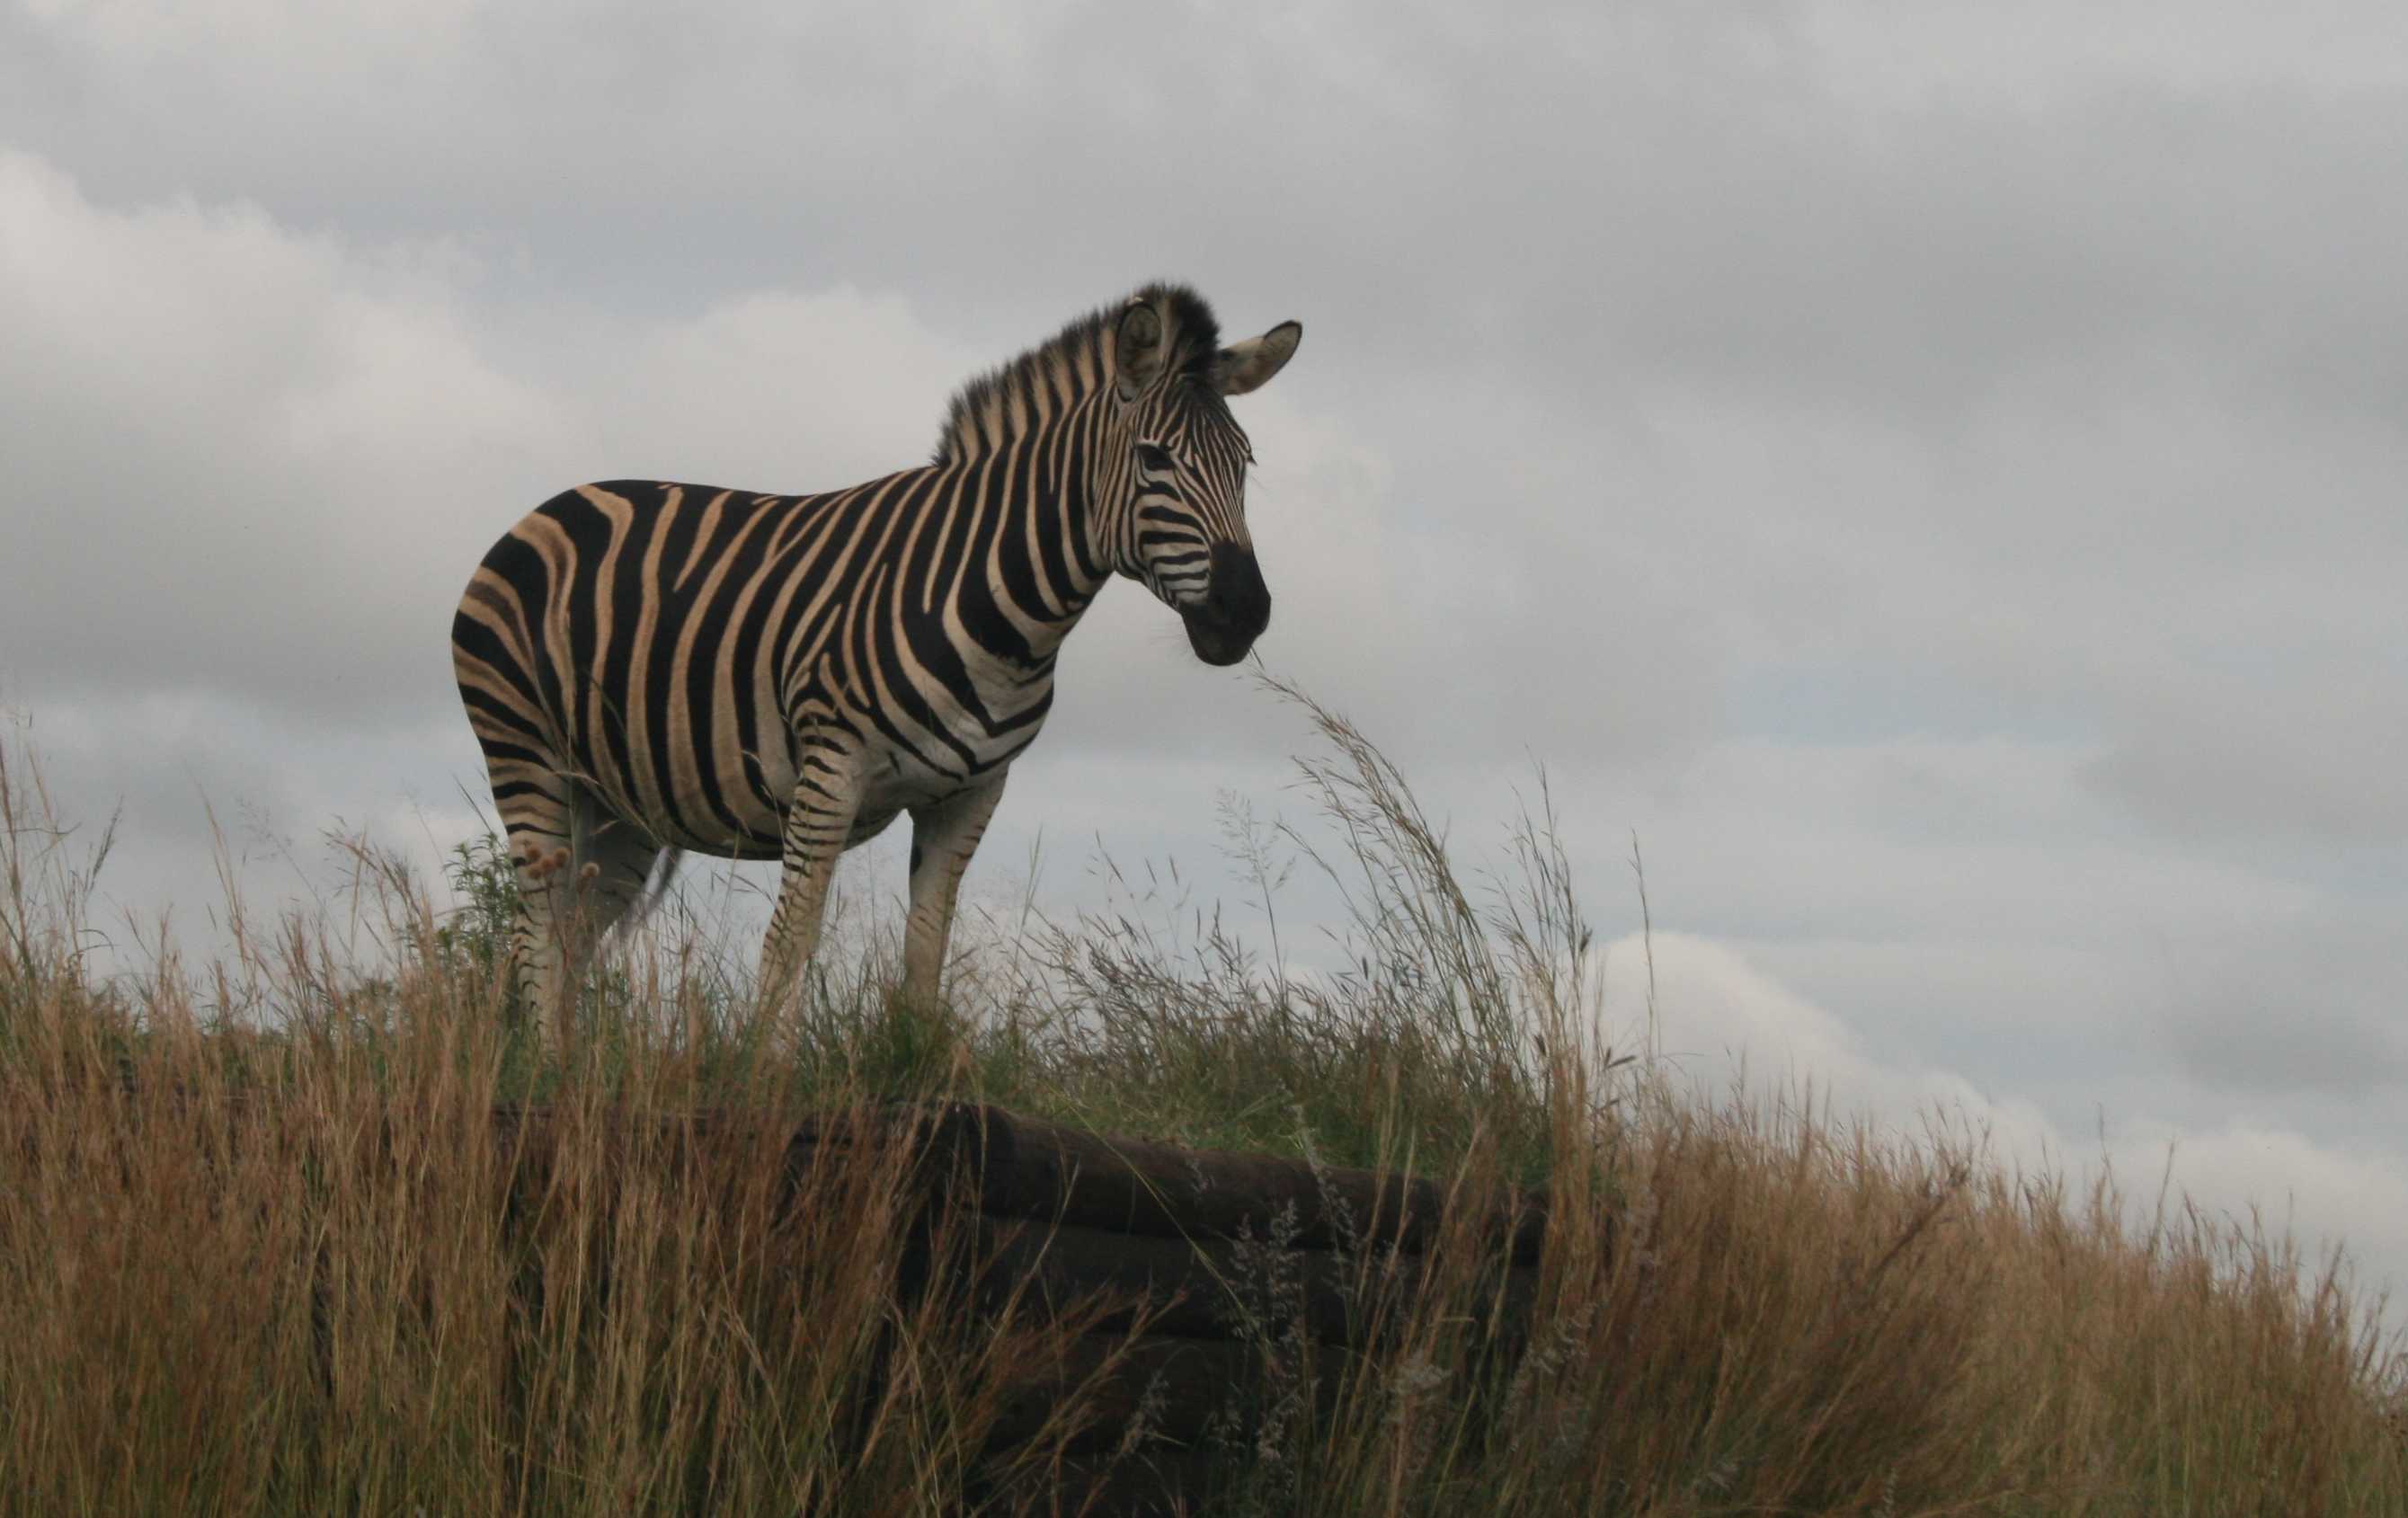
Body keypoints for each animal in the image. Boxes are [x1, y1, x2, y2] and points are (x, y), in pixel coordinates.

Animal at [451, 283, 1301, 1042]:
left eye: (1246, 462)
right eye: (1155, 460)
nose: (1245, 612)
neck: (1004, 614)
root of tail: (551, 505)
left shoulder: (972, 793)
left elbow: (926, 951)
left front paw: (917, 1075)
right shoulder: (832, 768)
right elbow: (791, 939)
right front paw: (765, 1077)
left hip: (620, 799)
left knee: (575, 930)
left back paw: (569, 1076)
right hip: (525, 751)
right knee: (535, 925)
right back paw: (545, 1066)